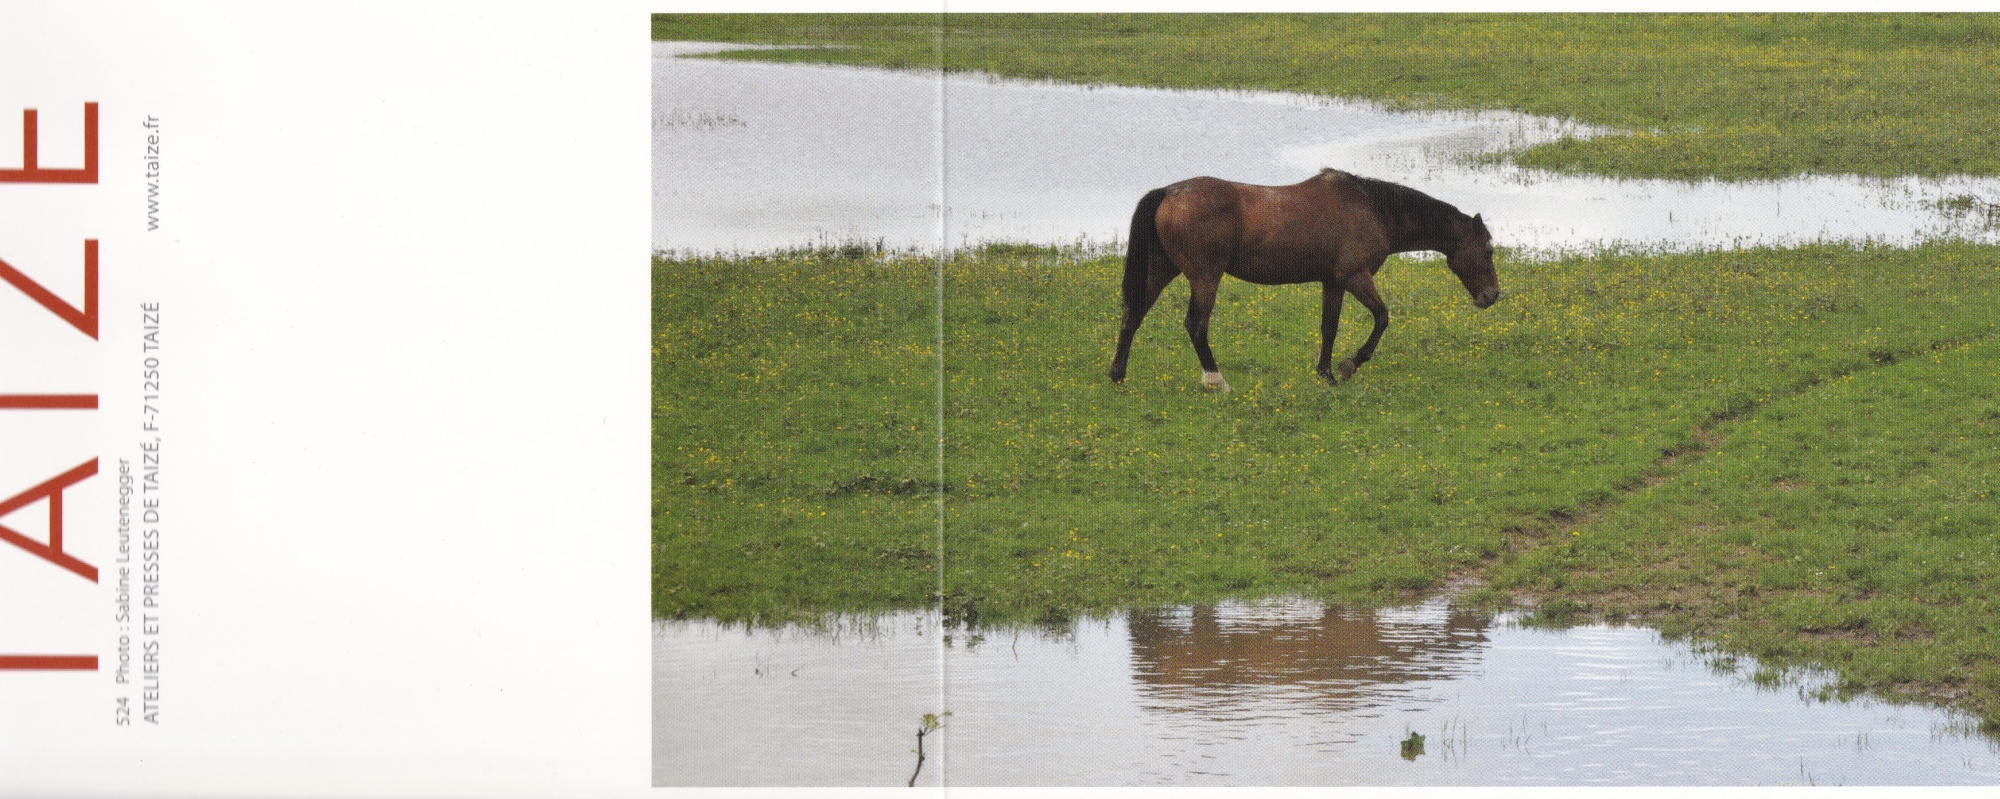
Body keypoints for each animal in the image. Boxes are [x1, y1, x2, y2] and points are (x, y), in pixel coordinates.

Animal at [1107, 169, 1500, 391]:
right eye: (1488, 250)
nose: (1492, 295)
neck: (1374, 208)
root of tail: (1168, 193)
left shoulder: (1334, 282)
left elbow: (1329, 328)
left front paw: (1325, 373)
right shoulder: (1356, 277)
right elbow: (1382, 318)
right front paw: (1349, 366)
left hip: (1161, 270)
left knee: (1133, 314)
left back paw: (1117, 374)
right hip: (1205, 277)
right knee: (1196, 324)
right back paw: (1215, 380)